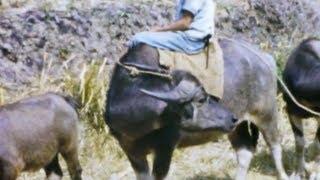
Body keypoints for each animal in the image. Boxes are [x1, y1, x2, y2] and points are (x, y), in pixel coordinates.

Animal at [106, 37, 288, 179]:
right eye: (201, 99)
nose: (231, 117)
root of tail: (265, 57)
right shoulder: (131, 152)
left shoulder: (165, 148)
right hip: (238, 126)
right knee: (245, 152)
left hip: (266, 113)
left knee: (275, 144)